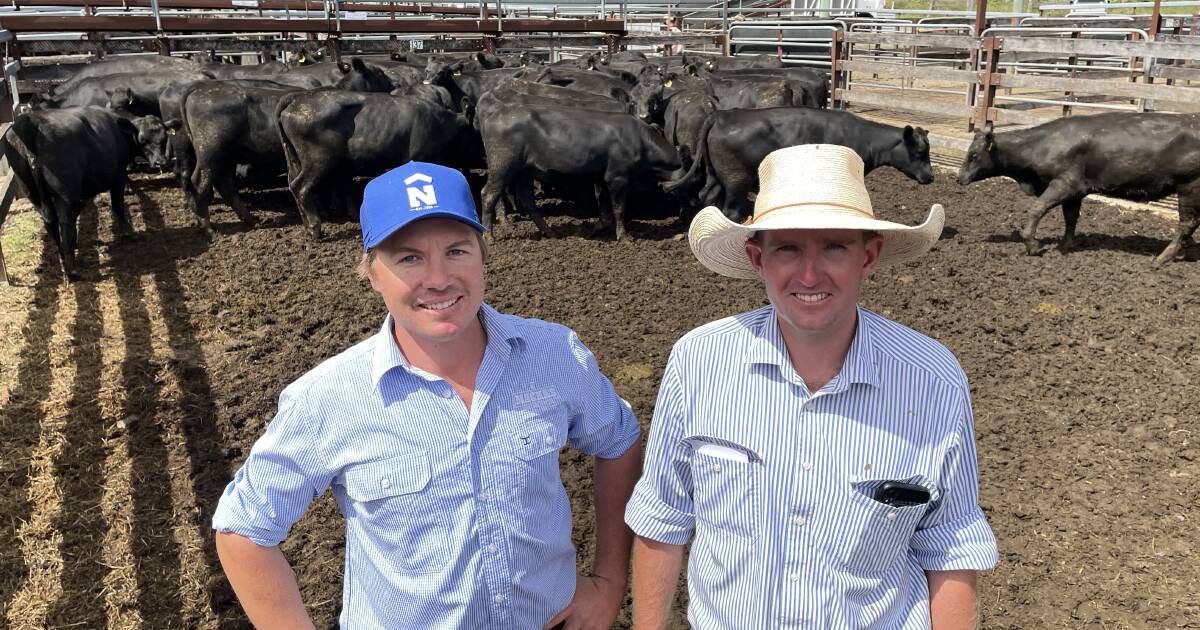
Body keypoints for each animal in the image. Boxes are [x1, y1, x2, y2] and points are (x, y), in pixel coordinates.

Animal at [2, 107, 166, 277]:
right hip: (65, 193)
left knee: (50, 221)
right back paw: (71, 269)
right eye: (143, 140)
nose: (160, 161)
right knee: (65, 222)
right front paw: (129, 234)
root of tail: (30, 120)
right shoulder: (118, 175)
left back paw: (63, 257)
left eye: (164, 138)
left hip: (32, 192)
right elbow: (117, 206)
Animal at [278, 93, 480, 238]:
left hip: (295, 158)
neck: (441, 124)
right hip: (318, 159)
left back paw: (307, 227)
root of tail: (297, 99)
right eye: (477, 129)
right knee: (301, 187)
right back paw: (315, 228)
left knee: (292, 184)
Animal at [477, 103, 686, 241]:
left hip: (523, 172)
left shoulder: (601, 177)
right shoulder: (618, 177)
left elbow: (604, 208)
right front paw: (624, 236)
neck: (640, 140)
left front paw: (595, 228)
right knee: (489, 194)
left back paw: (551, 233)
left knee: (527, 199)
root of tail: (493, 115)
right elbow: (619, 208)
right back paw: (489, 237)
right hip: (502, 166)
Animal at [667, 109, 936, 222]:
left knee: (707, 196)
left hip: (716, 176)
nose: (931, 177)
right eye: (920, 152)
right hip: (736, 181)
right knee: (731, 210)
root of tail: (721, 115)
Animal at [955, 114, 1200, 266]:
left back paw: (1162, 258)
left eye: (973, 155)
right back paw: (1189, 252)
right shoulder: (1076, 192)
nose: (959, 178)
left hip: (1189, 185)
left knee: (1187, 223)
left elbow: (1037, 208)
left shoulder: (1064, 183)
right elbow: (1071, 217)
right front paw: (1067, 244)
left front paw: (1032, 244)